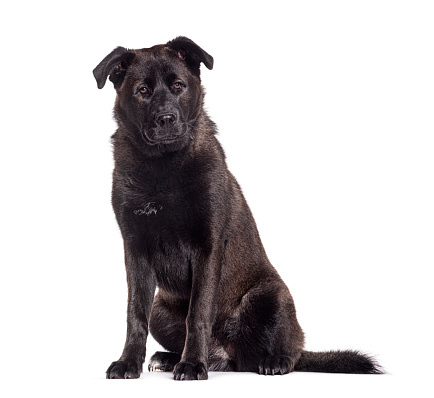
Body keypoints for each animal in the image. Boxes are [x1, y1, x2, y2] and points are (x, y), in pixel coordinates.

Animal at [92, 36, 380, 380]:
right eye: (143, 91)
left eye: (178, 85)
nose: (166, 119)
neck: (163, 166)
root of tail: (226, 354)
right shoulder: (135, 250)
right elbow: (135, 314)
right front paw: (129, 362)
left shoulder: (207, 247)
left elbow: (198, 313)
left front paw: (192, 364)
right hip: (161, 308)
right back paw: (170, 358)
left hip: (271, 295)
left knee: (293, 349)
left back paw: (272, 360)